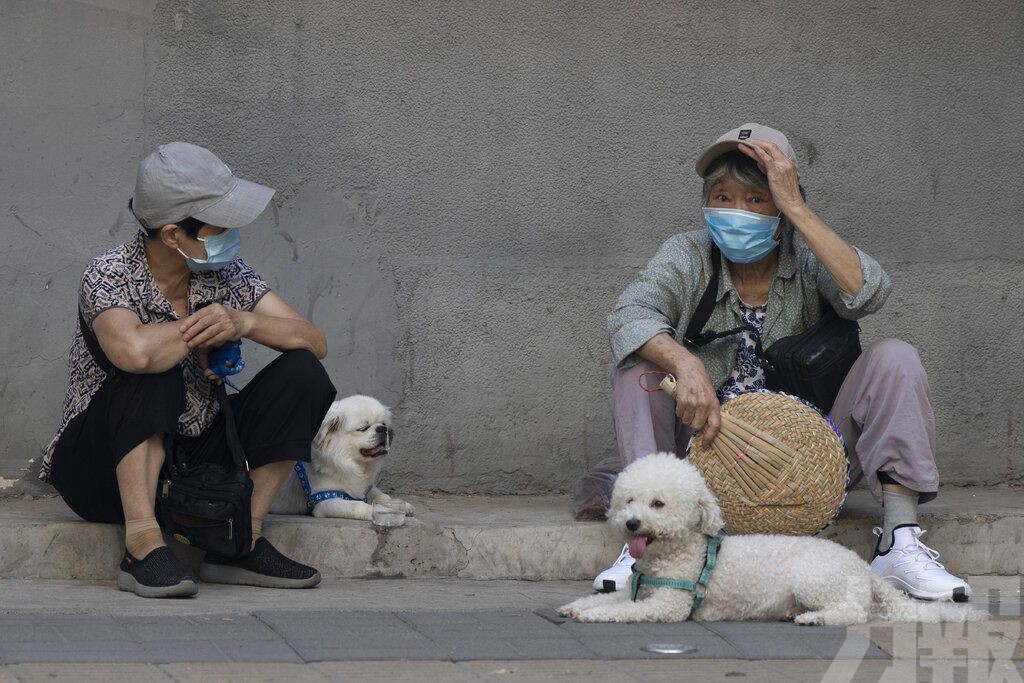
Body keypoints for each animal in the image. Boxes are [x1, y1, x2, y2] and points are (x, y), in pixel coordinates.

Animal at [272, 393, 415, 520]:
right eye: (363, 428)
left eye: (384, 424)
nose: (382, 429)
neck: (351, 464)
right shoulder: (326, 501)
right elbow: (358, 505)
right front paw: (384, 511)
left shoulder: (366, 488)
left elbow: (382, 496)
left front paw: (400, 505)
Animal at [561, 454, 983, 626]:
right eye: (628, 500)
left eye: (658, 504)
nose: (632, 523)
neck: (683, 553)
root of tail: (864, 570)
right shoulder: (640, 591)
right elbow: (612, 598)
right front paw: (576, 606)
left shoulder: (667, 605)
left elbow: (622, 610)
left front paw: (591, 615)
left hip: (813, 580)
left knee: (853, 613)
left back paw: (813, 619)